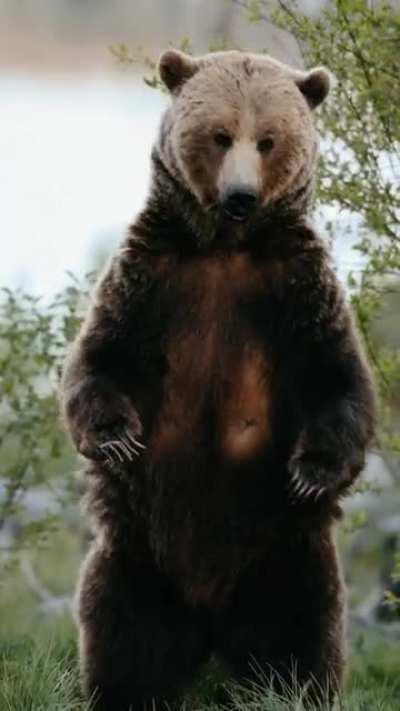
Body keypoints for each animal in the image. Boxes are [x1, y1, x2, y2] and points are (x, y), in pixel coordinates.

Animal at [61, 49, 376, 710]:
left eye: (269, 139)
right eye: (220, 134)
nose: (240, 196)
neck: (226, 247)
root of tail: (208, 622)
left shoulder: (297, 287)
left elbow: (339, 380)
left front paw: (312, 471)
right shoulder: (149, 278)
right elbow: (98, 359)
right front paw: (117, 436)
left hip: (287, 561)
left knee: (302, 643)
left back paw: (297, 688)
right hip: (136, 555)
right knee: (121, 635)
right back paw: (125, 689)